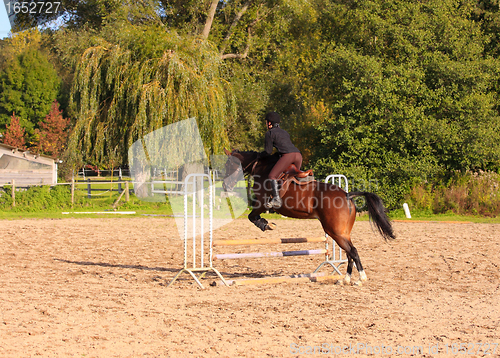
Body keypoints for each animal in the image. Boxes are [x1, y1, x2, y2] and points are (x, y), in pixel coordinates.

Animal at [222, 148, 394, 286]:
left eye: (228, 166)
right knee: (349, 253)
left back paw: (360, 279)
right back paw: (345, 279)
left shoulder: (263, 203)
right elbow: (252, 215)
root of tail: (347, 195)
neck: (262, 167)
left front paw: (266, 225)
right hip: (343, 232)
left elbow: (252, 216)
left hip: (335, 231)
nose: (224, 186)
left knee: (353, 251)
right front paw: (266, 223)